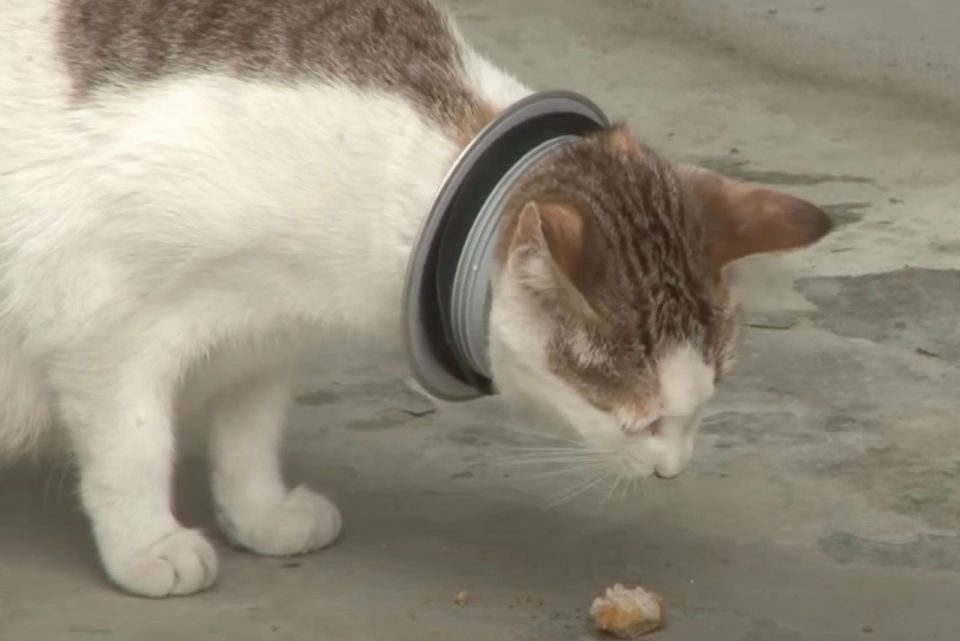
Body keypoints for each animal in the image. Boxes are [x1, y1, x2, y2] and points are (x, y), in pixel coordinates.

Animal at [0, 0, 828, 596]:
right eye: (636, 417)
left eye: (704, 405)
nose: (671, 470)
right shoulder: (103, 320)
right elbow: (135, 443)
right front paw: (147, 543)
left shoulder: (263, 330)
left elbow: (248, 431)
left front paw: (261, 512)